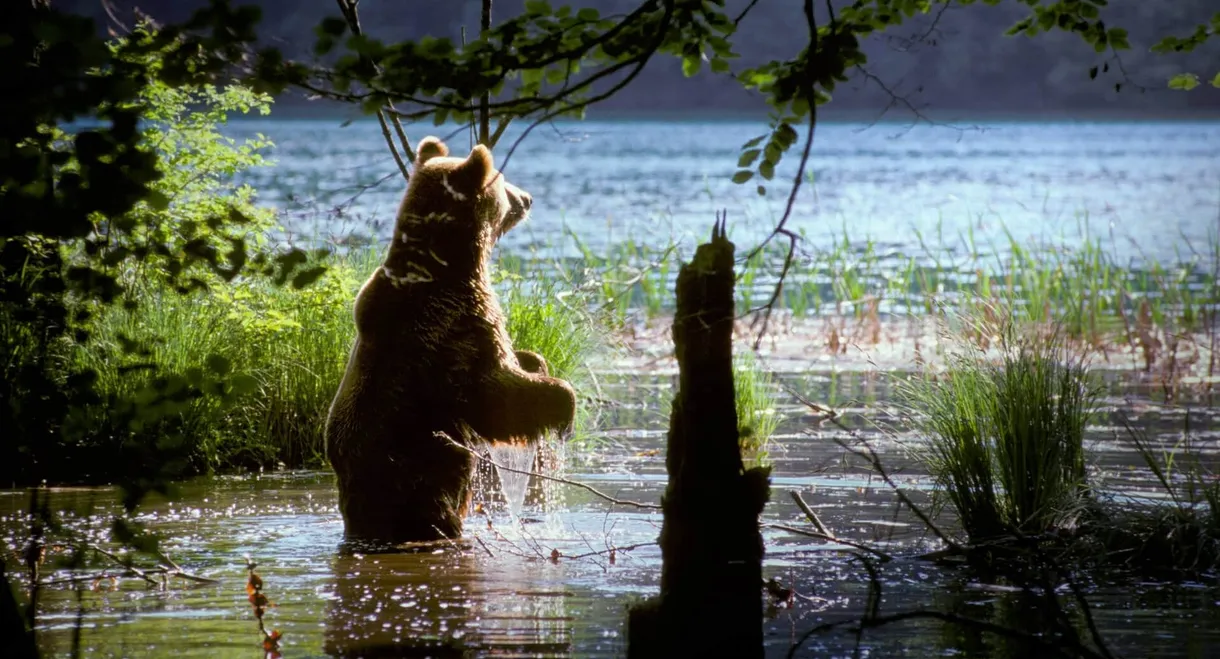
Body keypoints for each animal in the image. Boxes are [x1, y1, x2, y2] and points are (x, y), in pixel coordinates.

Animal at [326, 134, 578, 546]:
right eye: (502, 181)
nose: (527, 198)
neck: (449, 263)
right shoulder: (454, 330)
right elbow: (498, 394)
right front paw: (562, 405)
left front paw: (533, 359)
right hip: (420, 478)